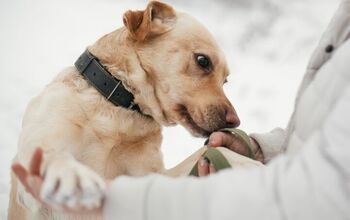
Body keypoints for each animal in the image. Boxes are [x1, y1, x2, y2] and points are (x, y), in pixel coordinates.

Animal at [8, 0, 262, 219]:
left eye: (225, 81)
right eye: (202, 61)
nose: (235, 122)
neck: (119, 110)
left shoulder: (151, 179)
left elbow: (206, 152)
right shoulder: (36, 159)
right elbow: (53, 154)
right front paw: (71, 175)